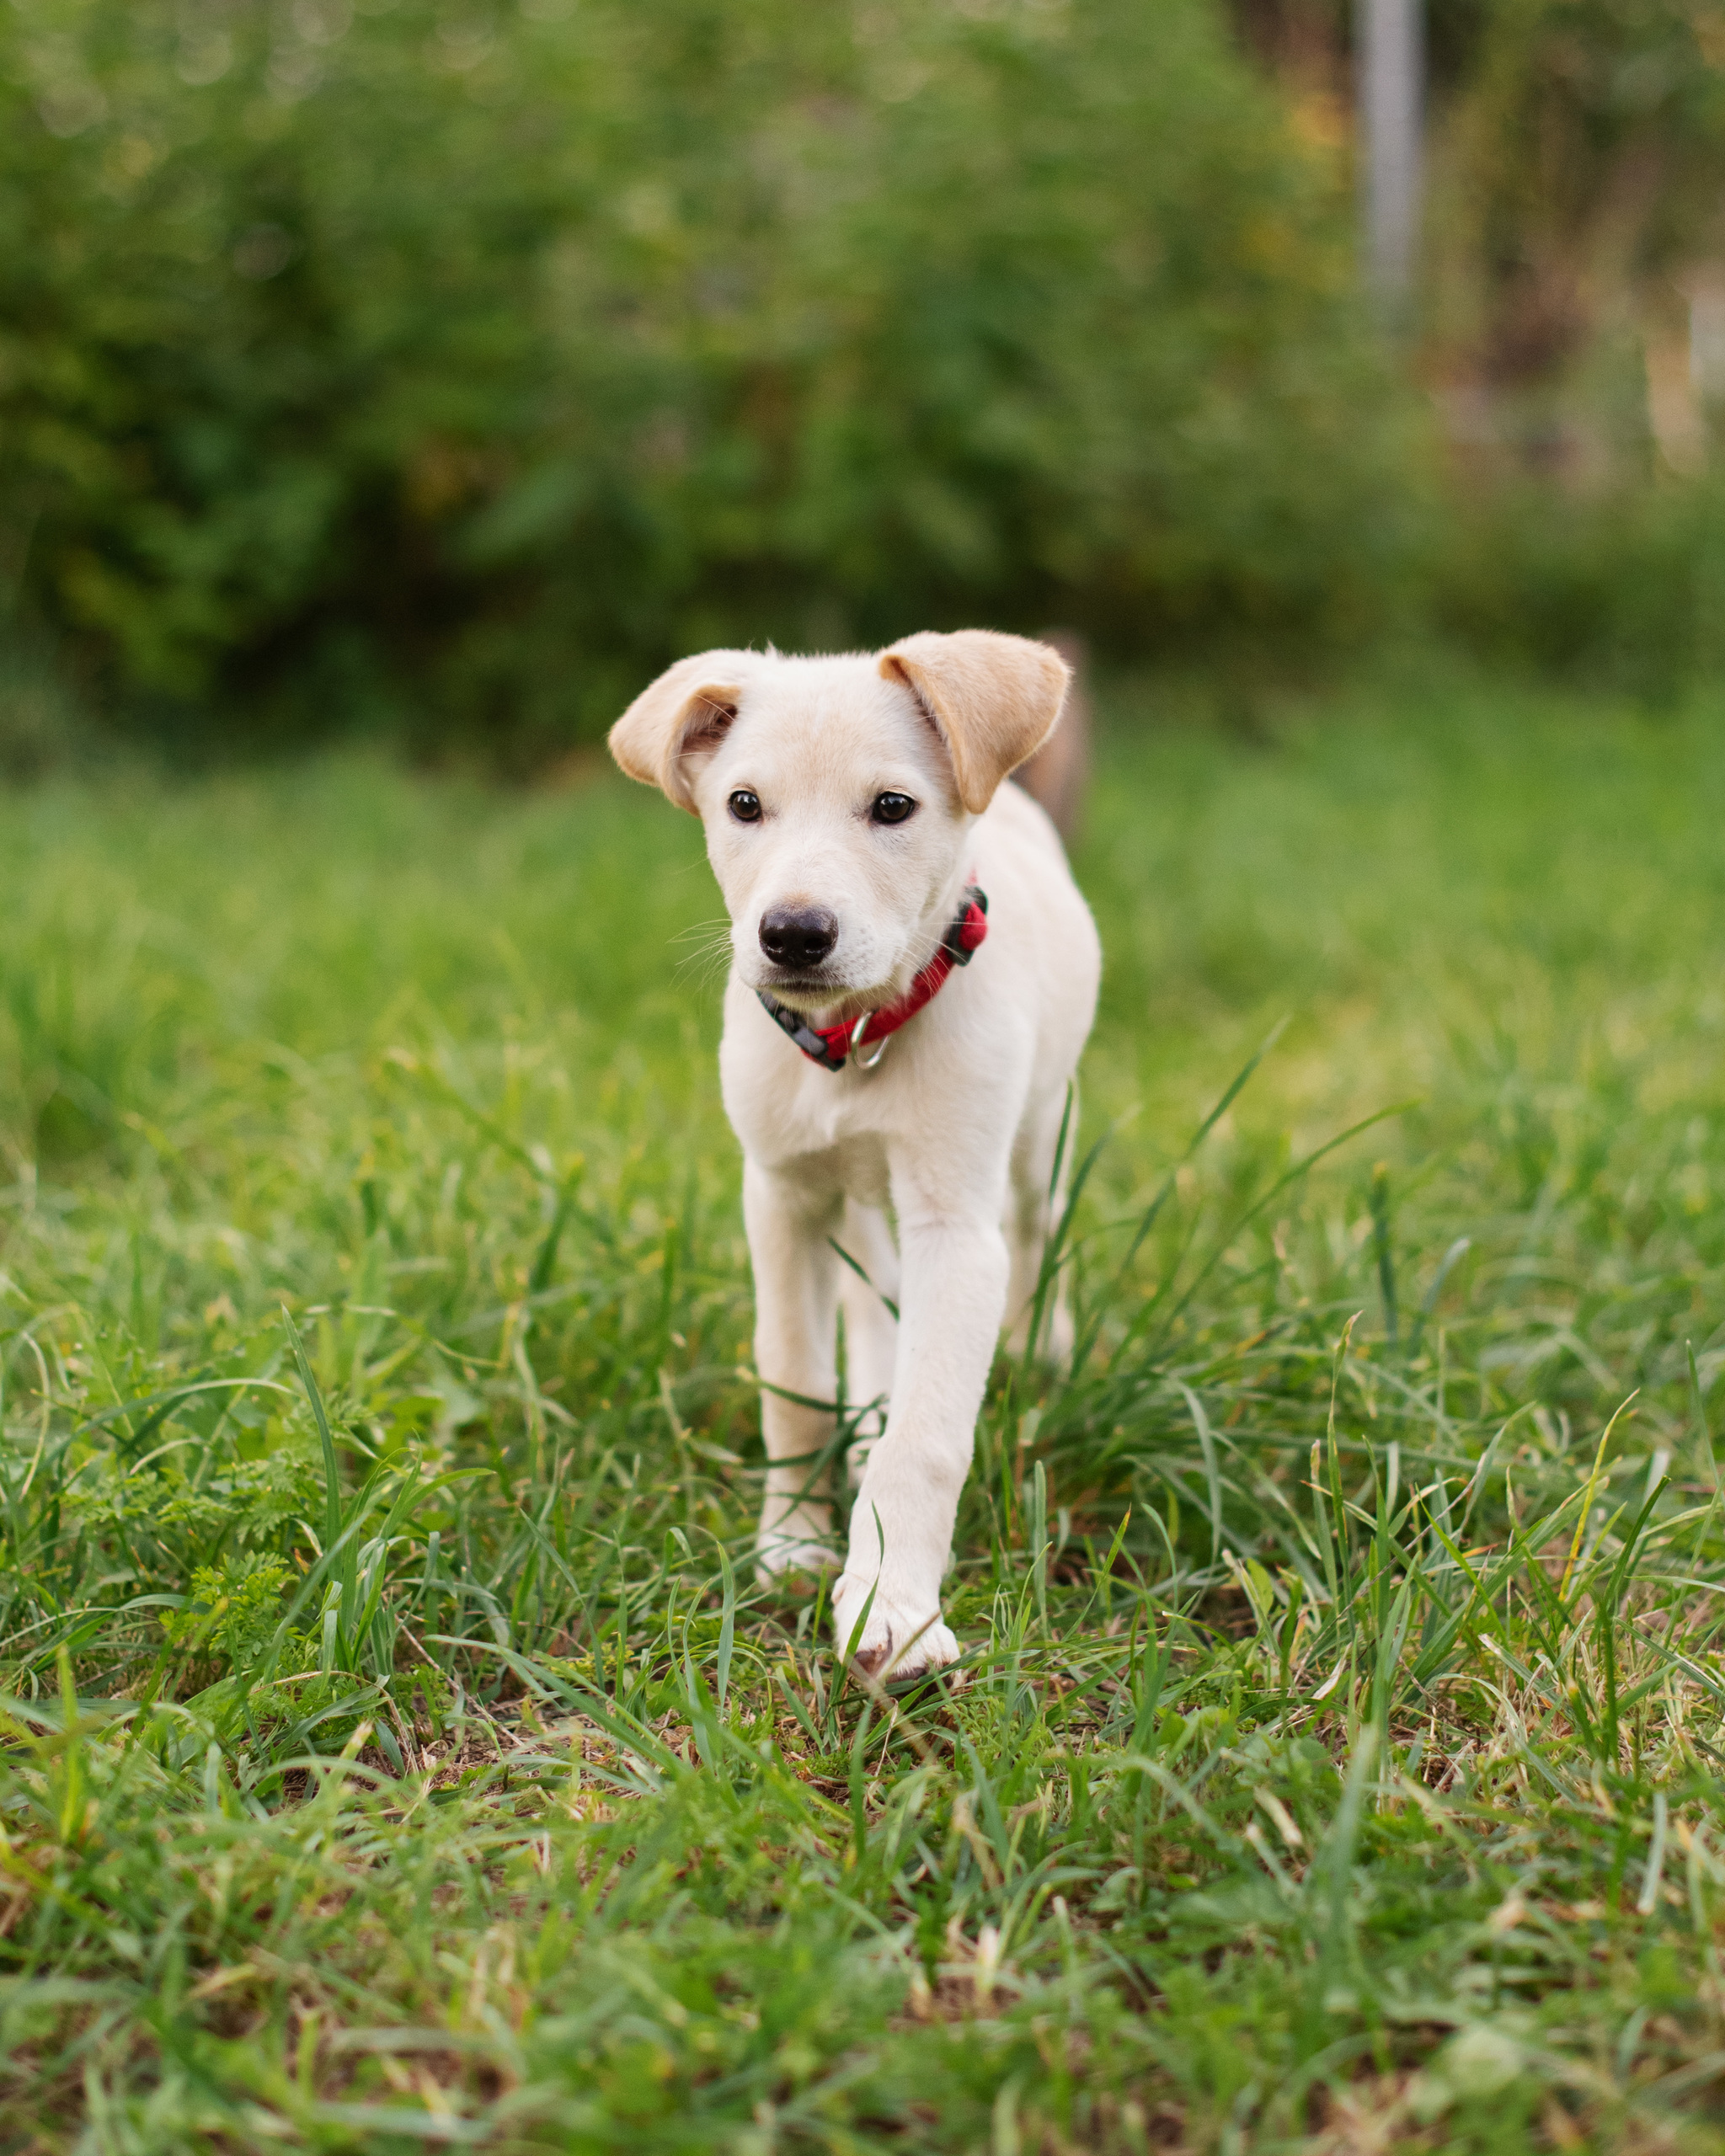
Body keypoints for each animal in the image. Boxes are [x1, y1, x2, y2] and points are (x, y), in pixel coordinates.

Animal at [607, 629, 1091, 1673]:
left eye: (893, 807)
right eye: (743, 805)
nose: (792, 934)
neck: (858, 1039)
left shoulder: (955, 1226)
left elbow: (928, 1433)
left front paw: (891, 1610)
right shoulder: (782, 1196)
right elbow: (790, 1375)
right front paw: (792, 1543)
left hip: (1041, 1139)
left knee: (1041, 1236)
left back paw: (1042, 1354)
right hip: (859, 1201)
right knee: (871, 1309)